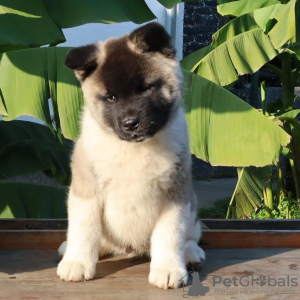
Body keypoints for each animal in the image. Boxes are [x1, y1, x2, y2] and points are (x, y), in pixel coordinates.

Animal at [57, 22, 205, 290]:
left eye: (145, 88)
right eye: (111, 97)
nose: (130, 123)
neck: (134, 149)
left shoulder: (175, 195)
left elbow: (170, 235)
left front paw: (169, 269)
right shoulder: (87, 190)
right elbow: (84, 230)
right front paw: (77, 262)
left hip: (192, 207)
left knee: (190, 235)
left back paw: (190, 253)